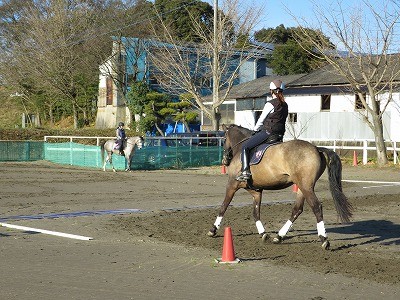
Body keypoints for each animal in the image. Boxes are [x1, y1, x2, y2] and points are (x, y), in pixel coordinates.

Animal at [208, 123, 352, 250]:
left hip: (306, 187)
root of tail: (317, 148)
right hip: (302, 187)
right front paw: (263, 233)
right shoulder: (256, 191)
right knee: (297, 210)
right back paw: (279, 236)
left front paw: (213, 230)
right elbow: (255, 212)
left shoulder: (232, 185)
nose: (225, 160)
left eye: (224, 139)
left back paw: (324, 239)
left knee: (316, 207)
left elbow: (223, 206)